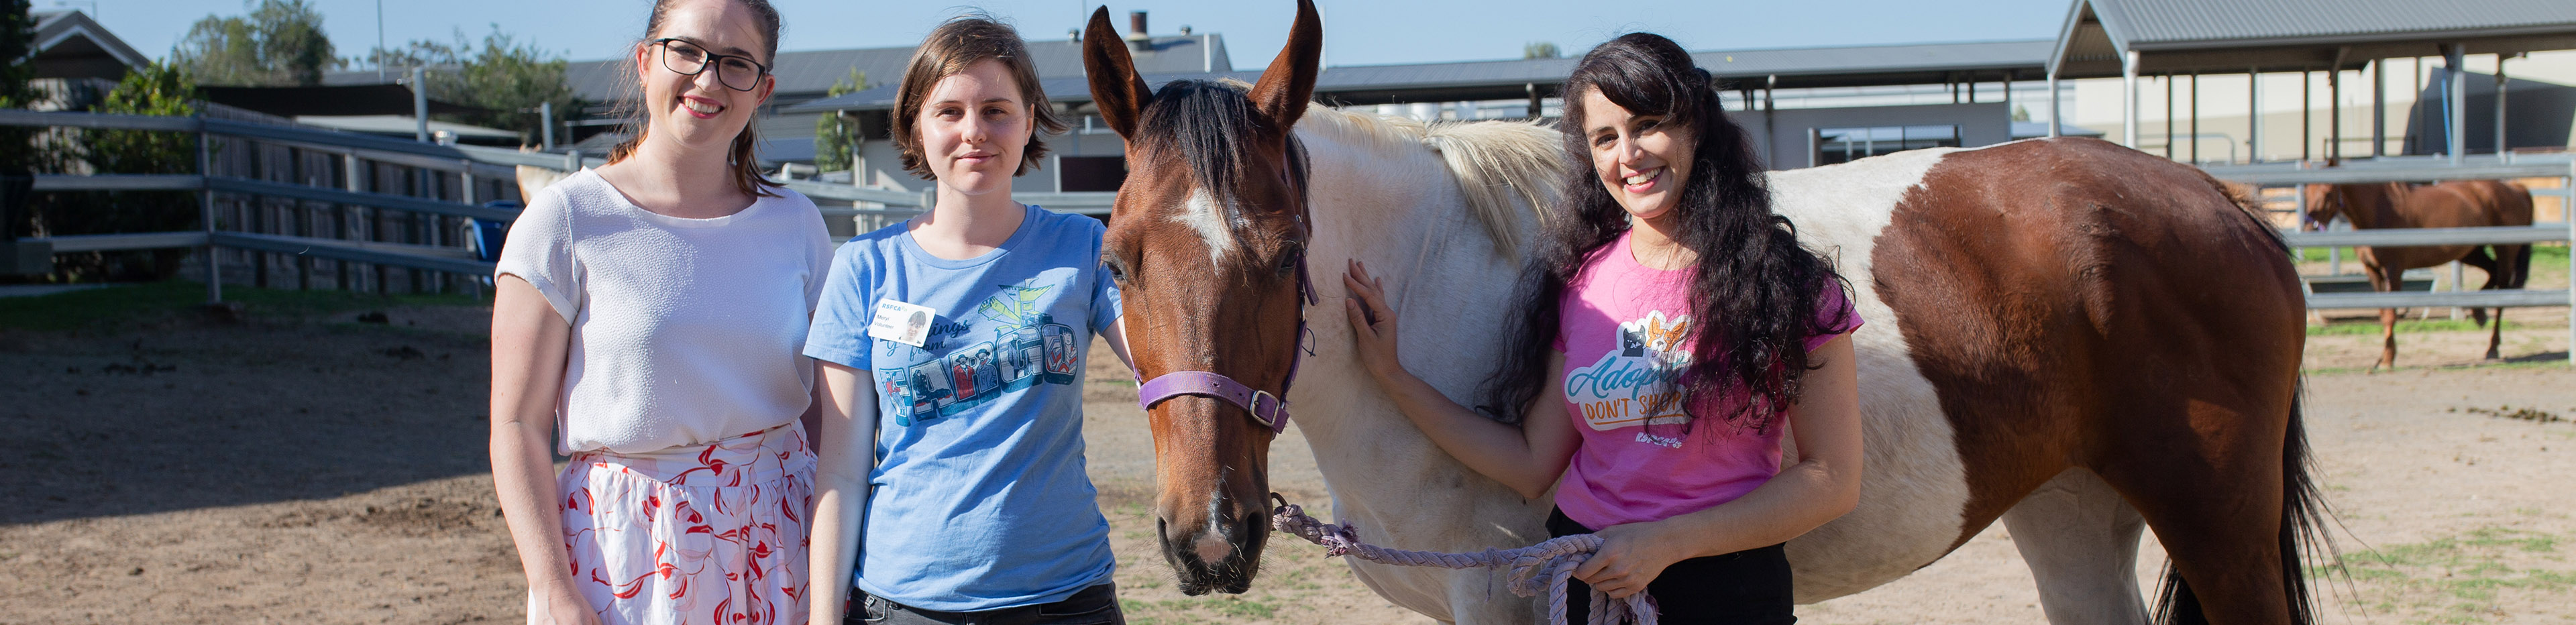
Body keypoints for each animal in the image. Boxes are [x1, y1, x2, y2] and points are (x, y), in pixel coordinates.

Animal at [1082, 3, 2324, 624]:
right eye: (1117, 257)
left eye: (1287, 251)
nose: (1210, 537)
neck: (1436, 279)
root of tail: (2219, 199)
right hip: (2071, 512)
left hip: (2219, 528)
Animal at [2304, 179, 2534, 368]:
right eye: (2307, 191)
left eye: (2328, 193)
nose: (2309, 225)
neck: (2379, 211)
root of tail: (2517, 188)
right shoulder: (2373, 270)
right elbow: (2382, 313)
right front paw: (2384, 356)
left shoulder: (2394, 270)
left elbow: (2390, 315)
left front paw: (2388, 359)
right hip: (2471, 252)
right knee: (2492, 273)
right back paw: (2478, 313)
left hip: (2505, 250)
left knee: (2501, 293)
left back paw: (2492, 346)